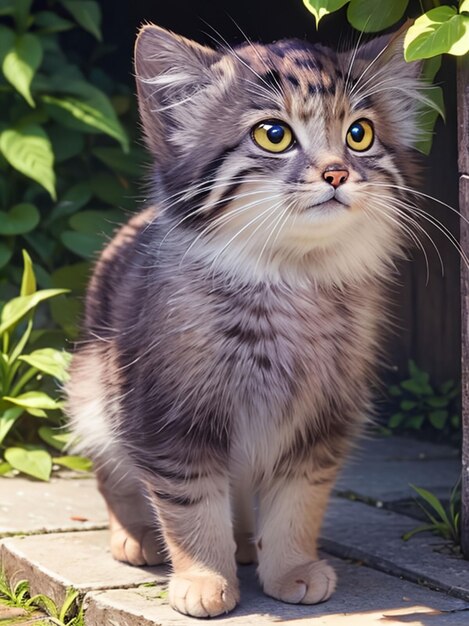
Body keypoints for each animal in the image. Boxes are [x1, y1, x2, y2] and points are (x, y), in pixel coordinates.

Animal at [65, 22, 424, 616]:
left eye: (359, 133)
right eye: (273, 135)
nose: (337, 172)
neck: (288, 282)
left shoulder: (323, 422)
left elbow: (297, 505)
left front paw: (291, 568)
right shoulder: (169, 418)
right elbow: (189, 507)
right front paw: (204, 578)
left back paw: (244, 543)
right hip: (94, 392)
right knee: (113, 474)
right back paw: (135, 536)